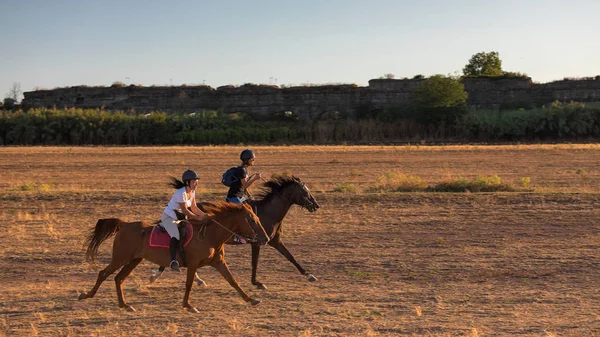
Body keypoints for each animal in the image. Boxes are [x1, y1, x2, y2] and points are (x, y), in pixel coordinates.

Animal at [78, 200, 268, 312]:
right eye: (251, 219)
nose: (265, 238)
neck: (208, 235)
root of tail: (124, 225)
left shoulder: (218, 262)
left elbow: (233, 281)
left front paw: (251, 299)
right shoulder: (193, 264)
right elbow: (189, 284)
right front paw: (188, 305)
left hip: (134, 260)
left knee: (119, 278)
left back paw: (124, 304)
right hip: (121, 258)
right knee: (104, 273)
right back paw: (86, 295)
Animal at [152, 173, 322, 288]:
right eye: (305, 192)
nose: (316, 205)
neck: (268, 213)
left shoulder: (274, 241)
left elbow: (290, 257)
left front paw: (309, 275)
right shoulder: (257, 242)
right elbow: (255, 263)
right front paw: (256, 282)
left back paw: (196, 279)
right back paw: (158, 274)